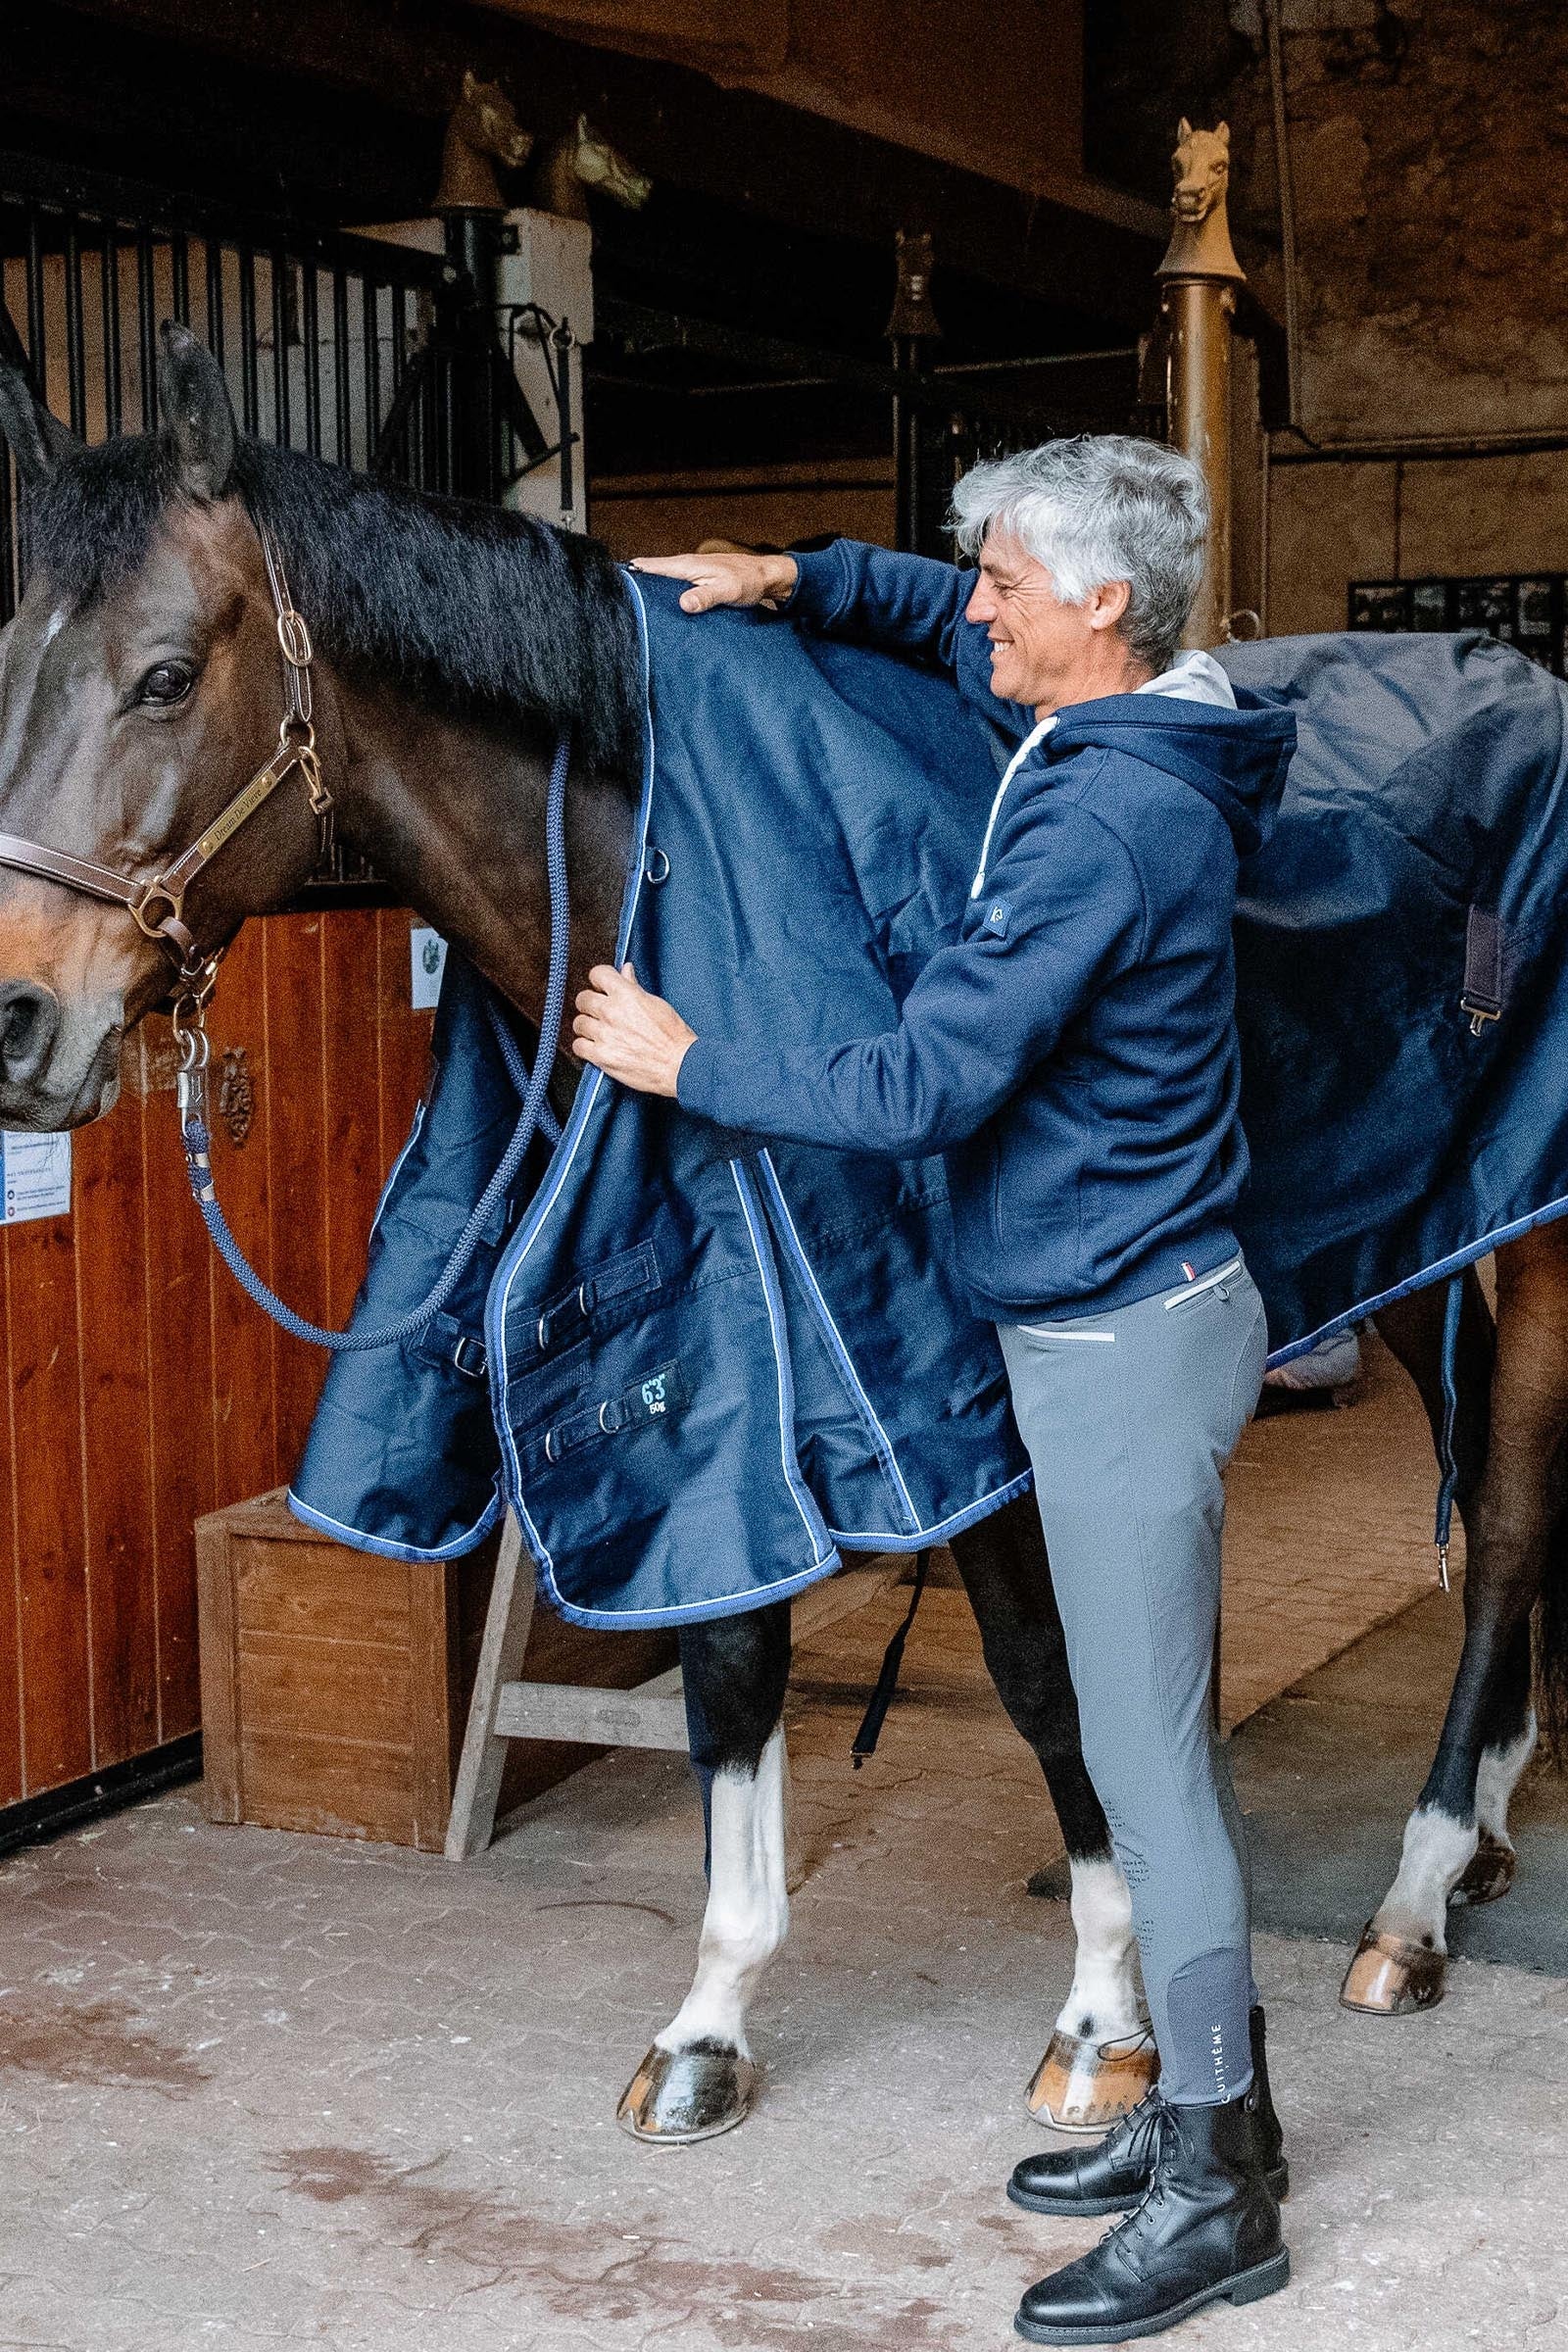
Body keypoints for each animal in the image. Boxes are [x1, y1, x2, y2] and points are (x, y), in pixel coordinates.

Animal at [0, 324, 1137, 2145]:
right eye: (4, 668)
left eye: (166, 678)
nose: (17, 1021)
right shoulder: (716, 1351)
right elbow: (732, 1664)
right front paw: (710, 2026)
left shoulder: (980, 1396)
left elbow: (1048, 1671)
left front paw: (1107, 2012)